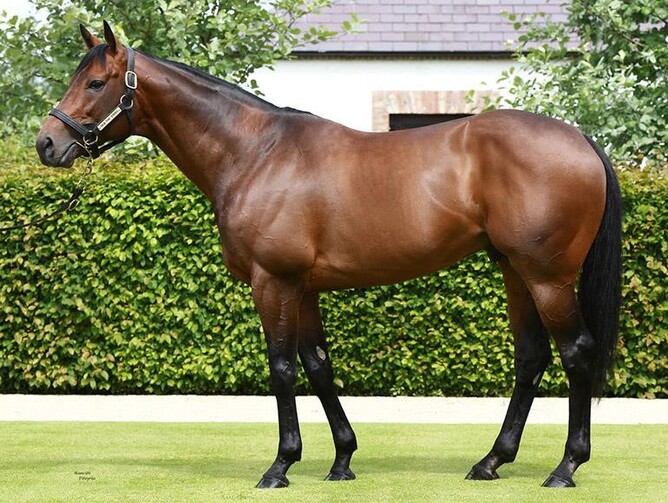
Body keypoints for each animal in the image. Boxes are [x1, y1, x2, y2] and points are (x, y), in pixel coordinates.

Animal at [36, 22, 622, 489]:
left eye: (95, 83)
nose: (46, 145)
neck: (255, 153)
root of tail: (580, 140)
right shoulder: (304, 288)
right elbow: (318, 366)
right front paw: (342, 460)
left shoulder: (272, 282)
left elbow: (281, 367)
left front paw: (280, 466)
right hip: (515, 271)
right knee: (531, 357)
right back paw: (491, 462)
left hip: (547, 277)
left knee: (576, 353)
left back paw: (565, 468)